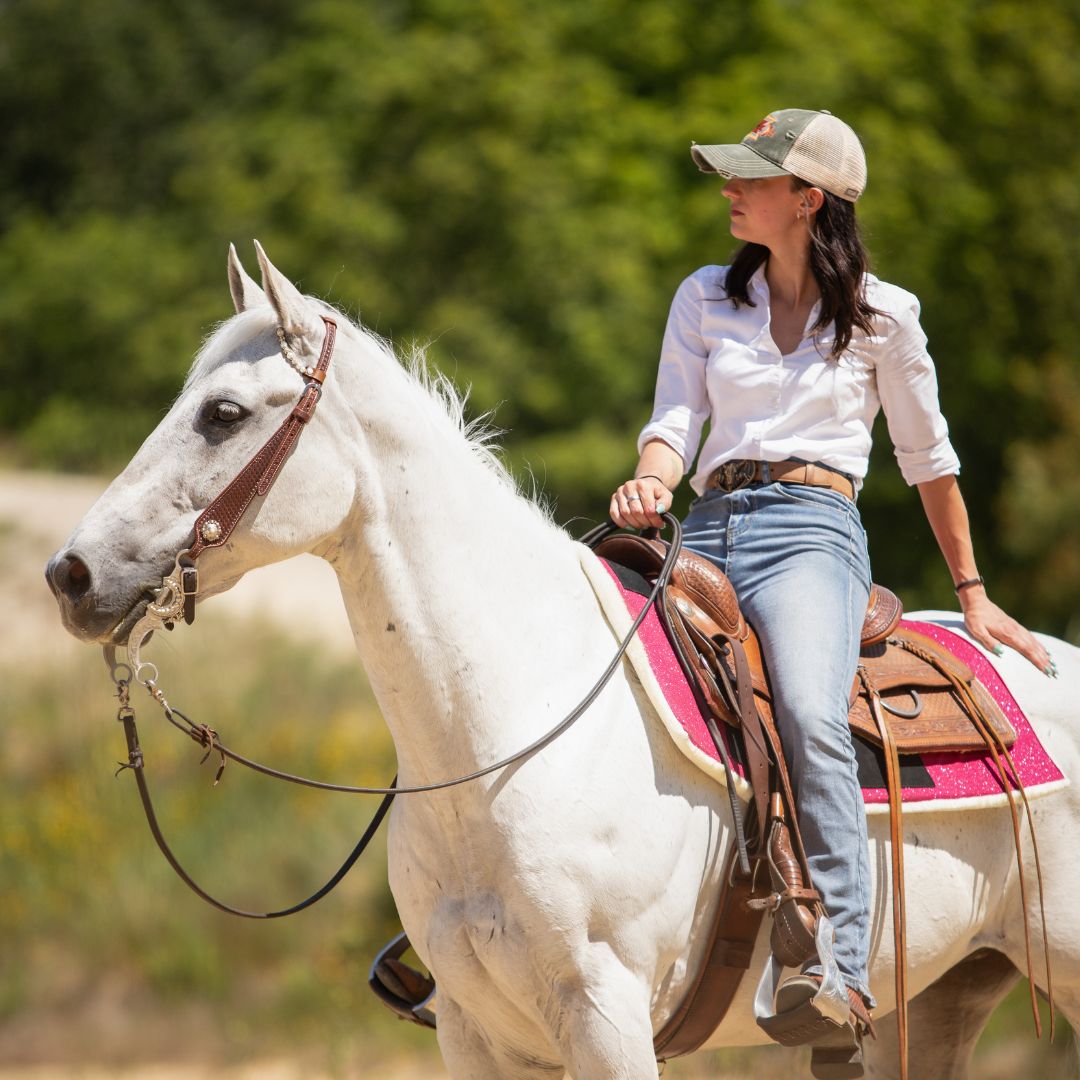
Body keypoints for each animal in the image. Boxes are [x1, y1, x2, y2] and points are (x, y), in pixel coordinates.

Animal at [46, 247, 1080, 1080]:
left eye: (221, 414)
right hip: (949, 991)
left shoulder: (606, 1019)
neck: (503, 733)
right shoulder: (476, 1034)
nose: (70, 573)